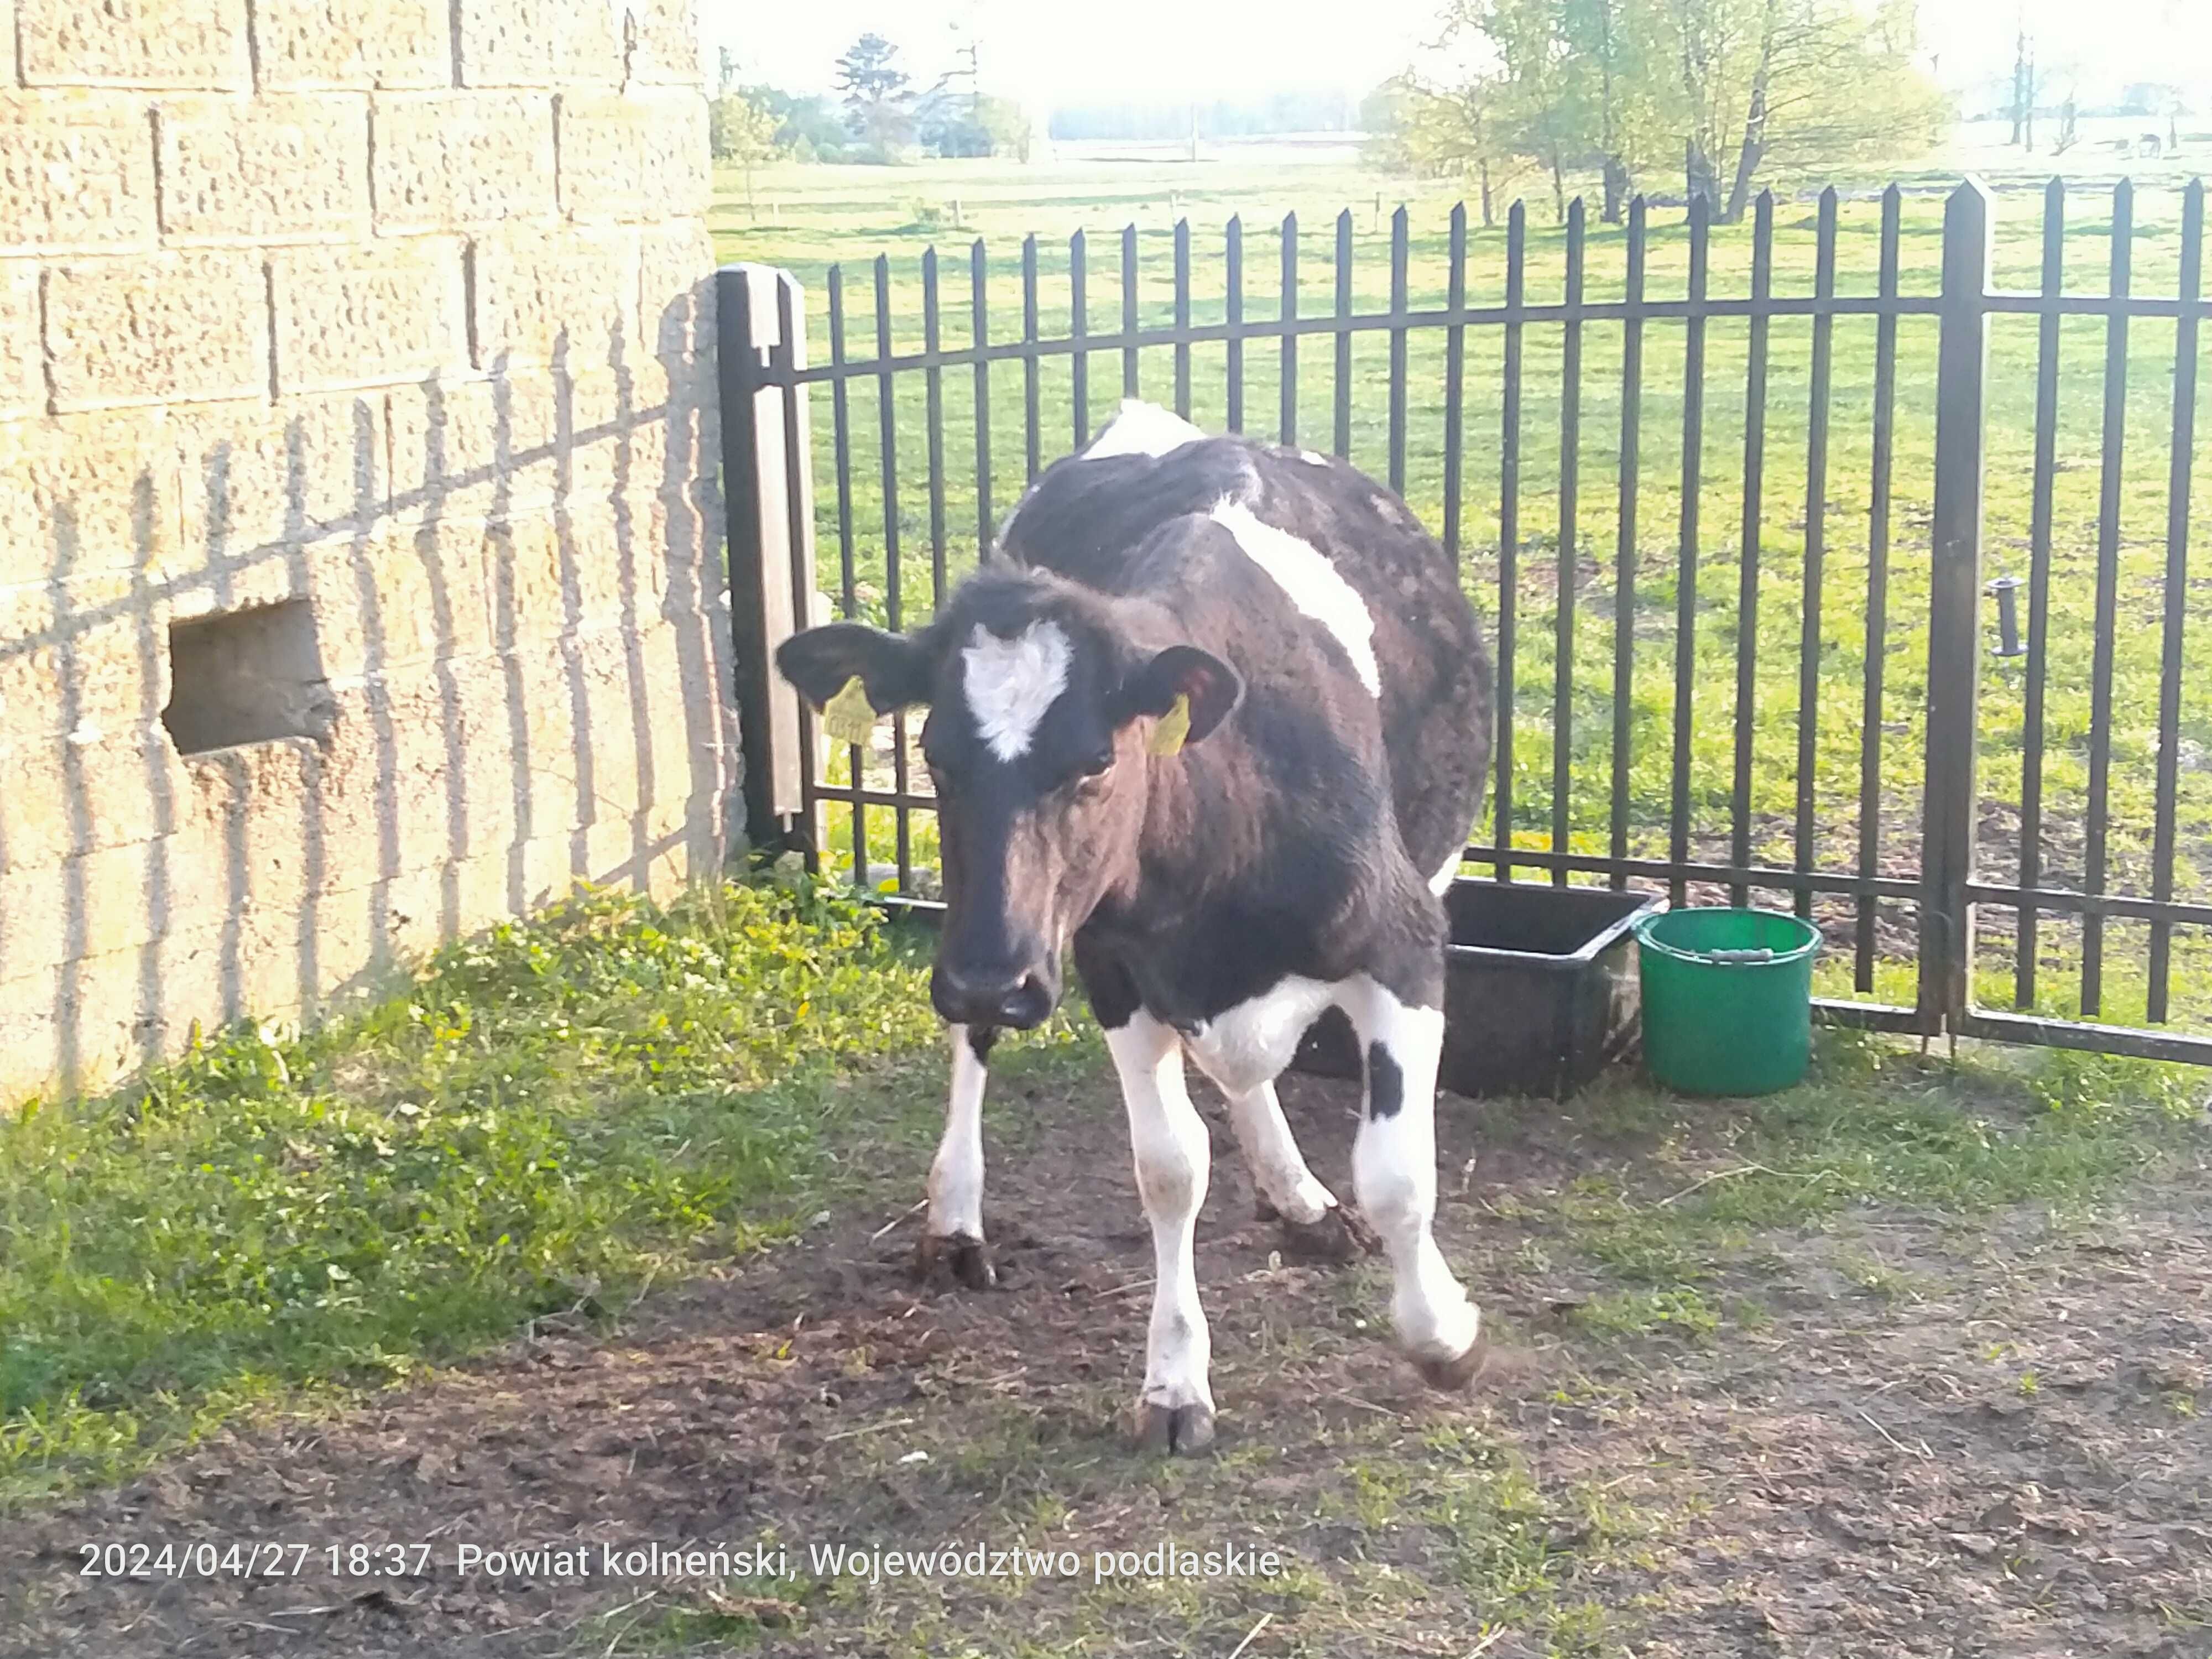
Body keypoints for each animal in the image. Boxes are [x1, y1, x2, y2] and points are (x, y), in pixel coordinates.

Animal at [787, 403, 1495, 1451]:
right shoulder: (1109, 969)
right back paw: (955, 1220)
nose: (989, 979)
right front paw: (1175, 1383)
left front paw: (1443, 1334)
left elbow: (1397, 1172)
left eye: (1096, 760)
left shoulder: (1404, 946)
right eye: (934, 754)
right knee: (983, 1051)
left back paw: (1300, 1200)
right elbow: (1170, 1169)